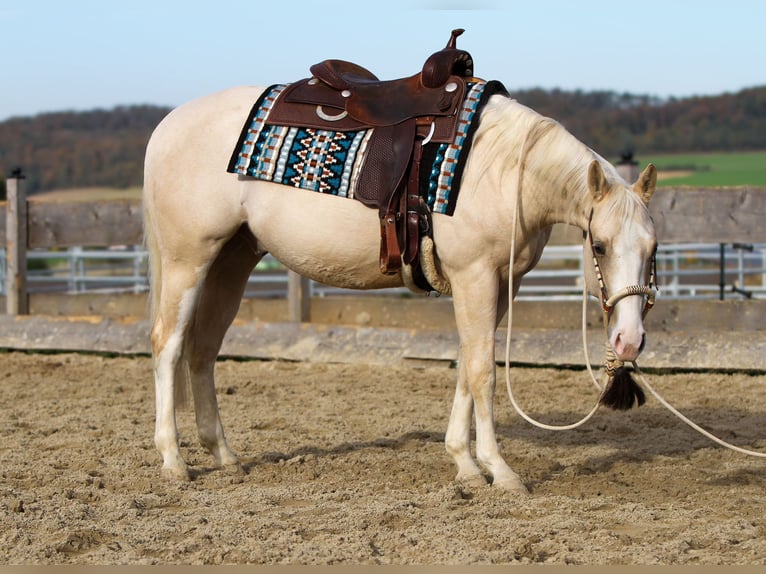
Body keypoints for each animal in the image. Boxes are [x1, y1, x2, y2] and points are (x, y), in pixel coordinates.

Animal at [143, 85, 658, 493]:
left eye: (653, 247)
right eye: (599, 244)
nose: (628, 340)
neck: (507, 170)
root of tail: (166, 125)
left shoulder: (500, 285)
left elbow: (466, 366)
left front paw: (465, 465)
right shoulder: (474, 277)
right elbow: (483, 373)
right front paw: (500, 470)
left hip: (231, 262)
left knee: (203, 351)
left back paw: (224, 456)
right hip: (188, 261)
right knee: (168, 345)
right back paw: (173, 461)